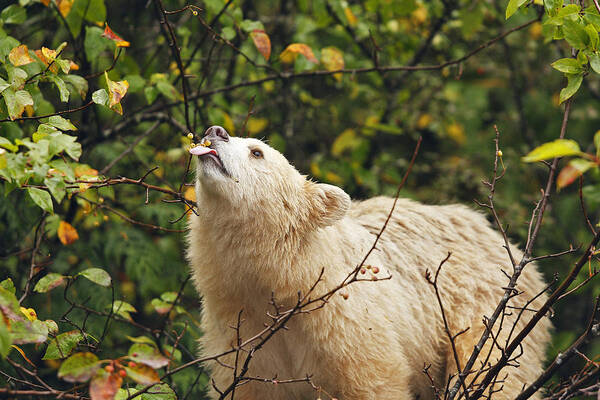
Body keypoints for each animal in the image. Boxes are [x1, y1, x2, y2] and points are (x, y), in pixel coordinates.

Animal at [185, 126, 552, 400]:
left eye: (257, 152)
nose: (215, 131)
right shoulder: (242, 333)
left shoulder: (348, 324)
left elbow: (373, 380)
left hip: (486, 308)